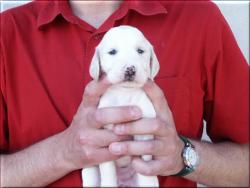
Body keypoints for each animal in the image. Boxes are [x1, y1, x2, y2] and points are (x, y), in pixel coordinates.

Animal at [82, 25, 160, 187]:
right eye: (112, 52)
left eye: (140, 51)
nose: (130, 69)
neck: (125, 93)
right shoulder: (106, 138)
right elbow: (108, 169)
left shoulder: (145, 133)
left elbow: (145, 162)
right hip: (89, 171)